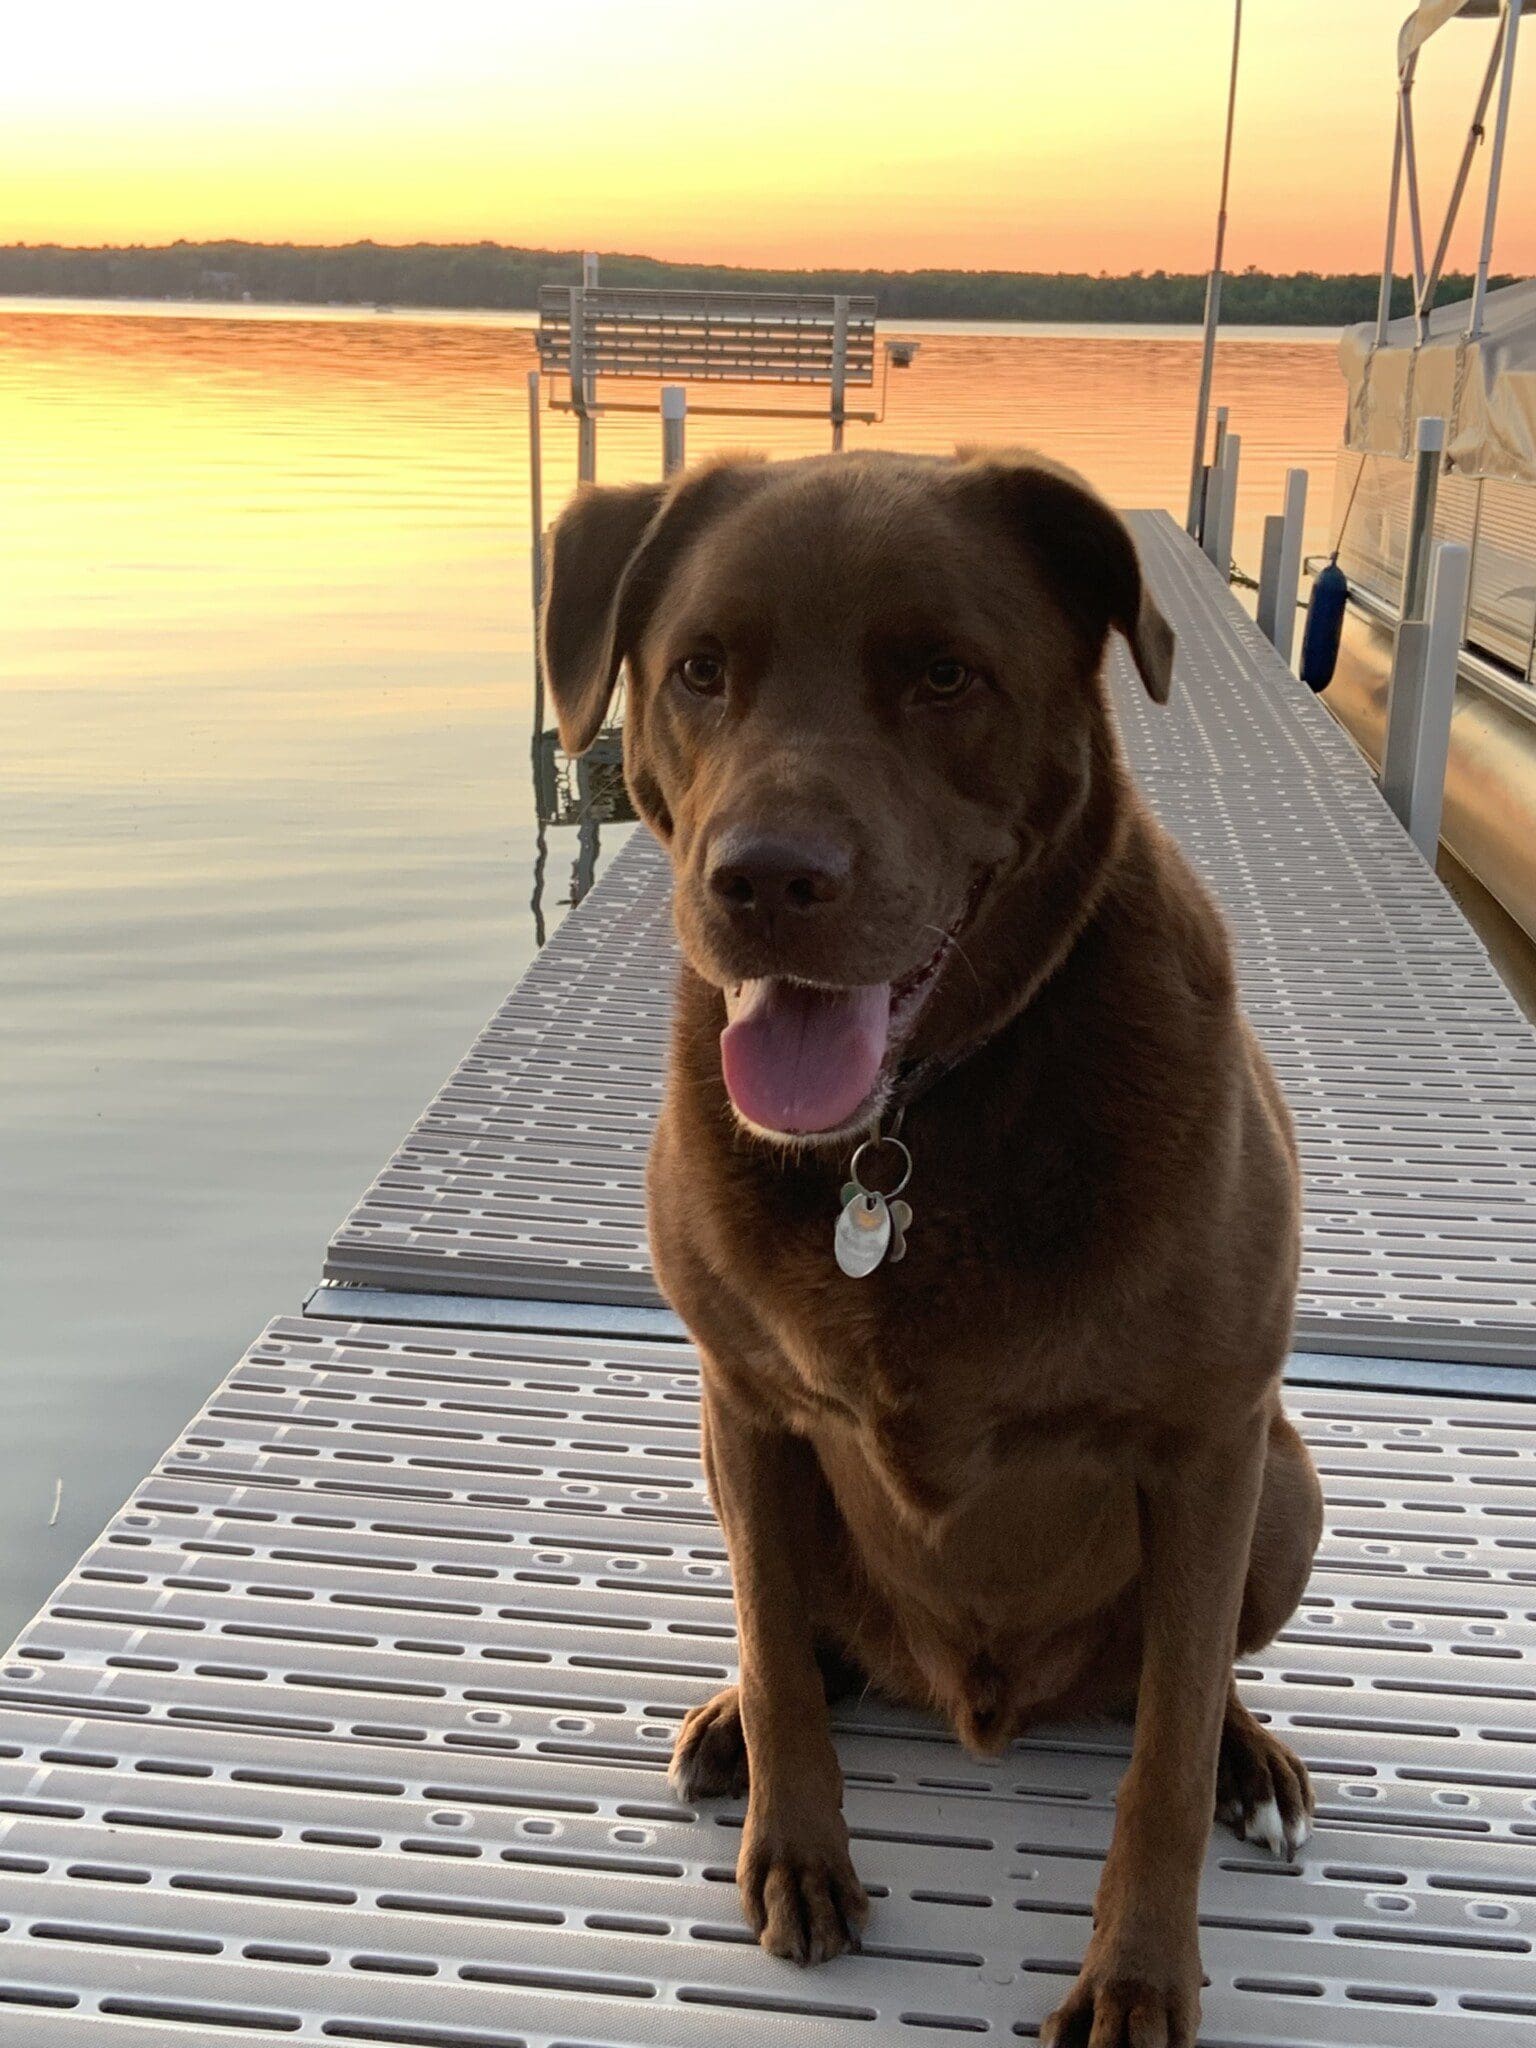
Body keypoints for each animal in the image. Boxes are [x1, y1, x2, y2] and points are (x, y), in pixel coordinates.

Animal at [540, 456, 1327, 2048]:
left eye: (946, 674)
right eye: (701, 670)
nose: (766, 879)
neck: (905, 1134)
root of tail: (983, 1697)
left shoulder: (1208, 1441)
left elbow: (1161, 1754)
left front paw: (1139, 1971)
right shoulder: (744, 1405)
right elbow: (778, 1646)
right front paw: (795, 1841)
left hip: (1284, 1488)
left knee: (1190, 1674)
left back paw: (1249, 1760)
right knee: (797, 1635)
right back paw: (732, 1723)